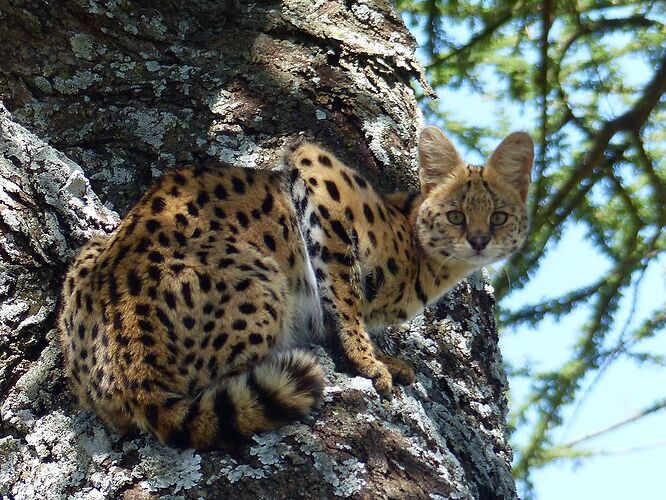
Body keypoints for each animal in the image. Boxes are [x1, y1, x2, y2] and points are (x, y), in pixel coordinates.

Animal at [59, 128, 532, 450]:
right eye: (455, 215)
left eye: (499, 217)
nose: (479, 241)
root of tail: (134, 376)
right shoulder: (320, 175)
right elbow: (345, 299)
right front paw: (371, 362)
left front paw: (384, 356)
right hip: (262, 276)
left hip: (90, 254)